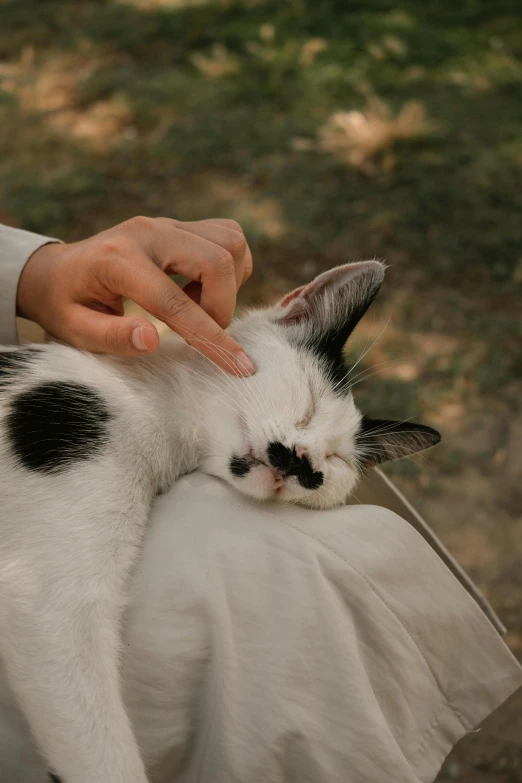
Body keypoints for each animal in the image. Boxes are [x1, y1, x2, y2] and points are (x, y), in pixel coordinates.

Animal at [0, 260, 438, 780]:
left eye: (336, 465)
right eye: (309, 404)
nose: (306, 466)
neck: (148, 407)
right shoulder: (47, 601)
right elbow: (102, 756)